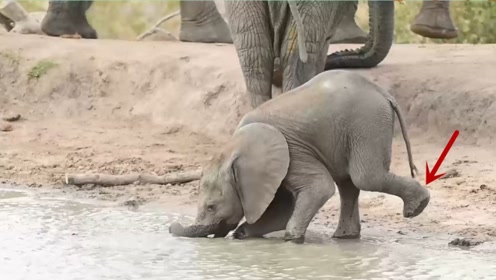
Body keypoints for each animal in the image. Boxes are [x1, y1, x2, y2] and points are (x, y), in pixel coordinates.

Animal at [170, 69, 430, 243]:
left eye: (211, 207)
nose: (171, 227)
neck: (234, 147)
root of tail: (383, 93)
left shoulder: (291, 151)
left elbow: (317, 188)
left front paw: (292, 239)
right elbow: (282, 205)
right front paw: (243, 233)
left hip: (366, 123)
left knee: (365, 177)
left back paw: (417, 207)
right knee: (348, 184)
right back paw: (345, 237)